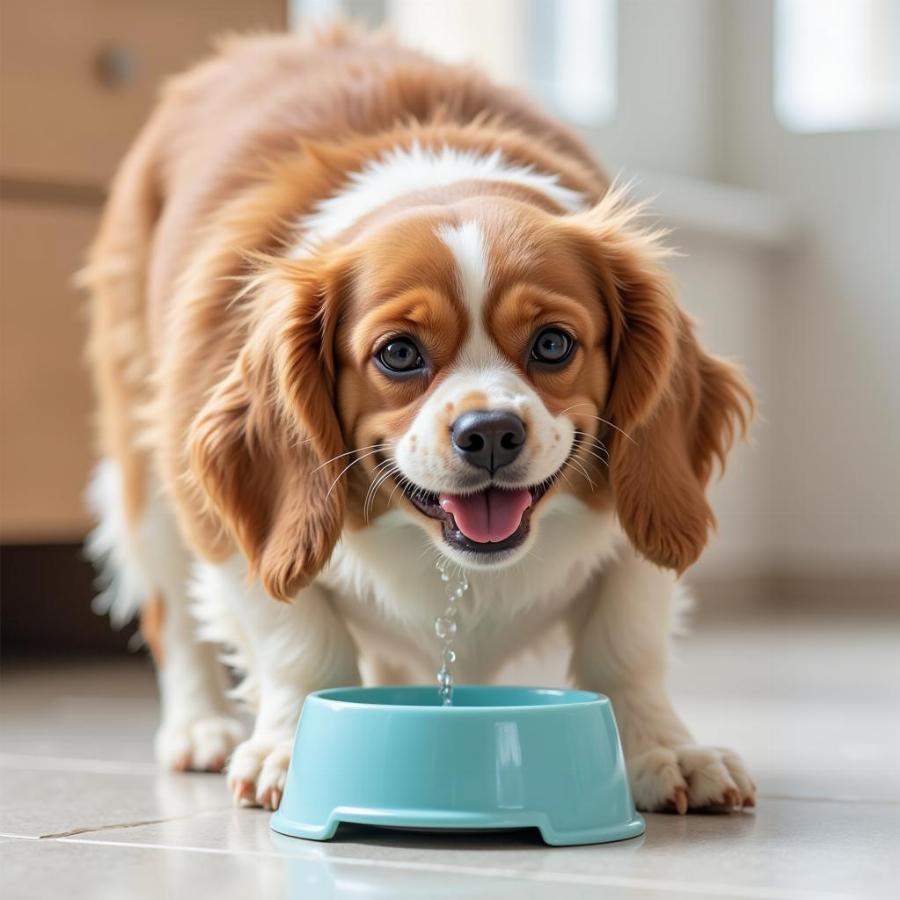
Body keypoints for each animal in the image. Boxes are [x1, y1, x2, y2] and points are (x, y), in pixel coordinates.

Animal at [84, 24, 756, 816]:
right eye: (399, 353)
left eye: (552, 343)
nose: (489, 432)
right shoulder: (230, 526)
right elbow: (299, 641)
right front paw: (288, 746)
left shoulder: (642, 519)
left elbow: (627, 644)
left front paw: (661, 749)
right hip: (150, 483)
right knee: (173, 621)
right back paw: (199, 726)